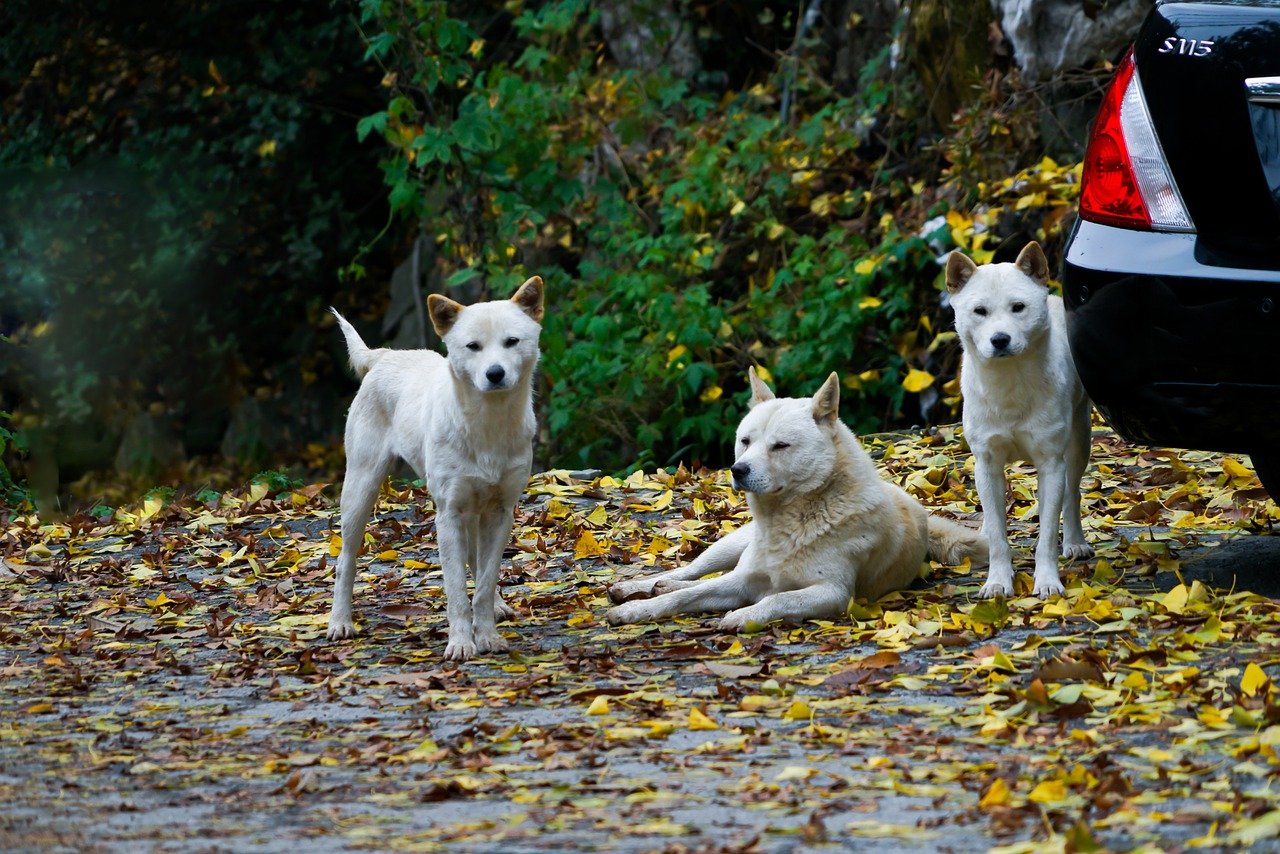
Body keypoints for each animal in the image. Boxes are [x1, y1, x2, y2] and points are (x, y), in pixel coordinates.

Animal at [325, 279, 545, 660]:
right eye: (473, 347)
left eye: (511, 342)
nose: (495, 374)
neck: (487, 426)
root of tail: (384, 355)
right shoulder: (449, 515)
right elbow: (456, 589)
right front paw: (461, 643)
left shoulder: (500, 512)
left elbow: (484, 581)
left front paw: (487, 635)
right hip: (359, 493)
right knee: (345, 562)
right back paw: (340, 622)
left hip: (472, 513)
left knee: (478, 563)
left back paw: (498, 607)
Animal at [604, 371, 983, 632]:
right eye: (745, 441)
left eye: (780, 446)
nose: (738, 470)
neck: (791, 521)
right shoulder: (743, 580)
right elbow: (681, 597)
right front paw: (634, 611)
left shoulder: (832, 593)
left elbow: (779, 597)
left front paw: (744, 615)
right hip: (730, 546)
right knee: (692, 572)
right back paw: (637, 587)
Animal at [947, 241, 1095, 601]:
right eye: (980, 311)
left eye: (1018, 308)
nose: (1000, 339)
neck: (1009, 387)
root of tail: (1053, 297)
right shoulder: (986, 464)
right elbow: (999, 535)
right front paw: (998, 581)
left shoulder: (1051, 463)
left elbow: (1047, 535)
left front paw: (1048, 582)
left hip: (1078, 443)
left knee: (1072, 495)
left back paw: (1075, 542)